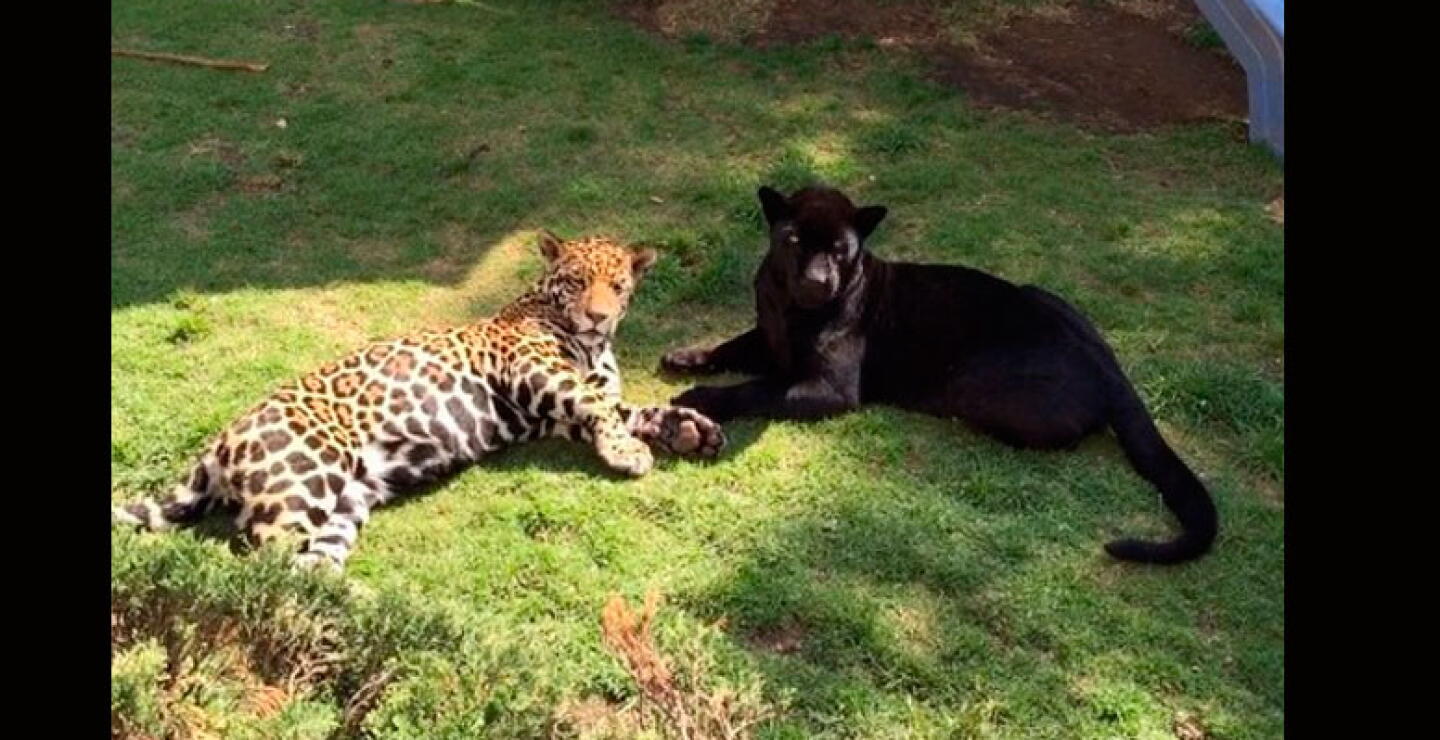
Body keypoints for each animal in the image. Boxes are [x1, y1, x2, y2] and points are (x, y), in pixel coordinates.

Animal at [113, 231, 726, 570]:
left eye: (619, 287)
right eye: (575, 282)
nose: (599, 315)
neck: (594, 345)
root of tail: (220, 442)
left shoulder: (551, 414)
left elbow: (626, 411)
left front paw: (688, 429)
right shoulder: (537, 374)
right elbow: (602, 411)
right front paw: (631, 454)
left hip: (347, 498)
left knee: (309, 560)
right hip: (308, 471)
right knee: (264, 551)